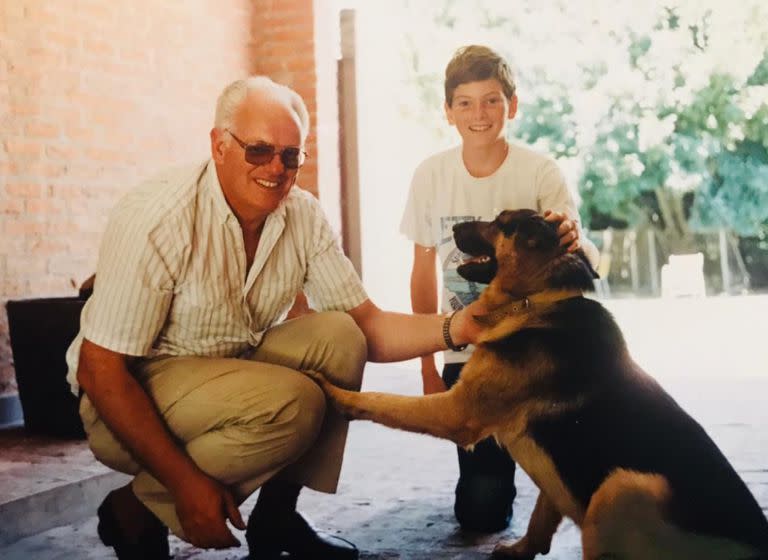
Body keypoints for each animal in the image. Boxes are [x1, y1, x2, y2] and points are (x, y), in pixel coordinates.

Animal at [308, 211, 768, 560]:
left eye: (502, 222)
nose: (454, 229)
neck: (533, 304)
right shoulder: (551, 469)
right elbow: (541, 516)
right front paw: (522, 549)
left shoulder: (457, 413)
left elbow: (380, 400)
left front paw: (332, 392)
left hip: (621, 488)